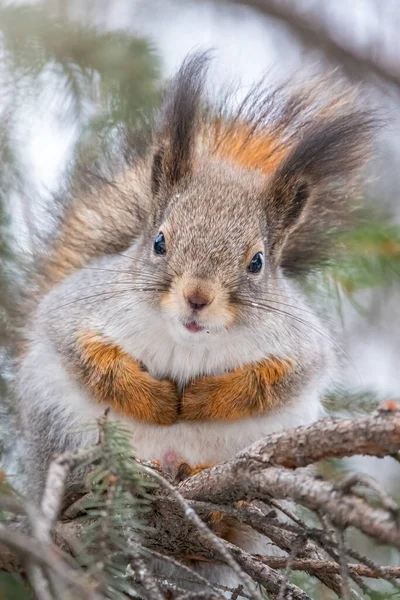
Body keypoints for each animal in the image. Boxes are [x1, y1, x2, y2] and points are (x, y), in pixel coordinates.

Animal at [16, 52, 376, 584]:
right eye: (159, 241)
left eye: (257, 261)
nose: (198, 297)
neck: (188, 343)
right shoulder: (74, 309)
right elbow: (88, 356)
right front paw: (157, 400)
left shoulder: (302, 343)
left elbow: (277, 377)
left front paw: (208, 398)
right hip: (58, 427)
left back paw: (217, 503)